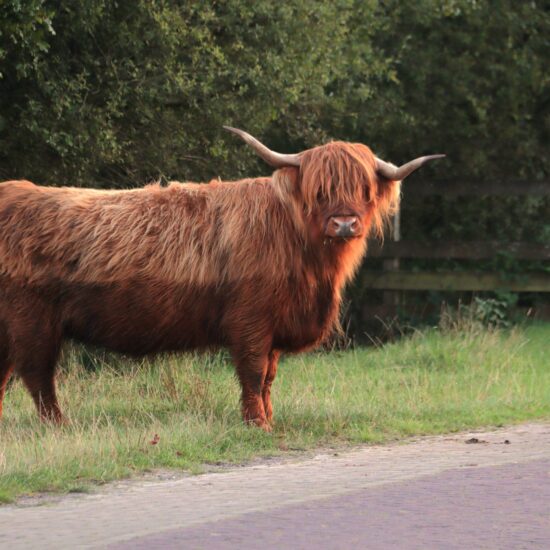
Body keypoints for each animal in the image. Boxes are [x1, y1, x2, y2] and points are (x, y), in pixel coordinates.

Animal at [0, 128, 444, 432]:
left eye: (364, 188)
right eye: (319, 190)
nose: (345, 223)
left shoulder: (274, 326)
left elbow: (269, 377)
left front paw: (268, 417)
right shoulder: (250, 320)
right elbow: (252, 371)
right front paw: (257, 424)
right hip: (32, 321)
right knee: (38, 375)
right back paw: (58, 425)